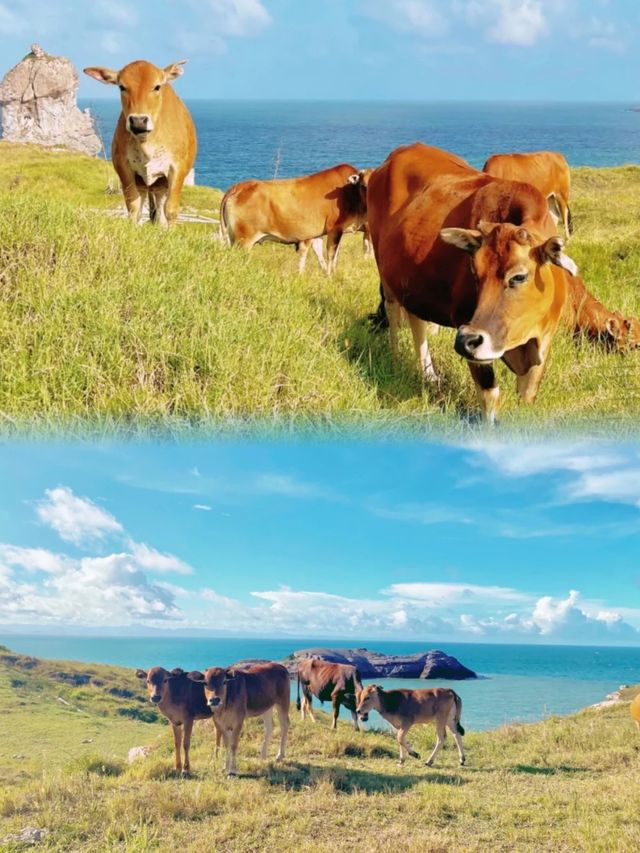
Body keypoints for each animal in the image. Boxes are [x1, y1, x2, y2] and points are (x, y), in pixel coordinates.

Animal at [84, 59, 196, 230]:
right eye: (122, 87)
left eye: (157, 86)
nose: (138, 121)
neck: (147, 143)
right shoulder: (123, 166)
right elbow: (133, 205)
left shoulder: (178, 168)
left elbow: (171, 209)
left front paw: (171, 233)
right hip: (143, 182)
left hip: (162, 182)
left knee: (161, 206)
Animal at [220, 165, 370, 272]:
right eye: (363, 185)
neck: (350, 192)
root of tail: (239, 186)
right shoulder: (335, 229)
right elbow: (331, 255)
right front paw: (330, 276)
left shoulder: (319, 233)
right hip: (243, 241)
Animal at [364, 144, 640, 422]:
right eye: (473, 272)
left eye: (519, 276)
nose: (466, 339)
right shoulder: (469, 333)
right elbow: (490, 396)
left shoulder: (543, 341)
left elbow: (527, 395)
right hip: (386, 275)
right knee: (394, 315)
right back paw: (396, 359)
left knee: (416, 320)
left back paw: (428, 374)